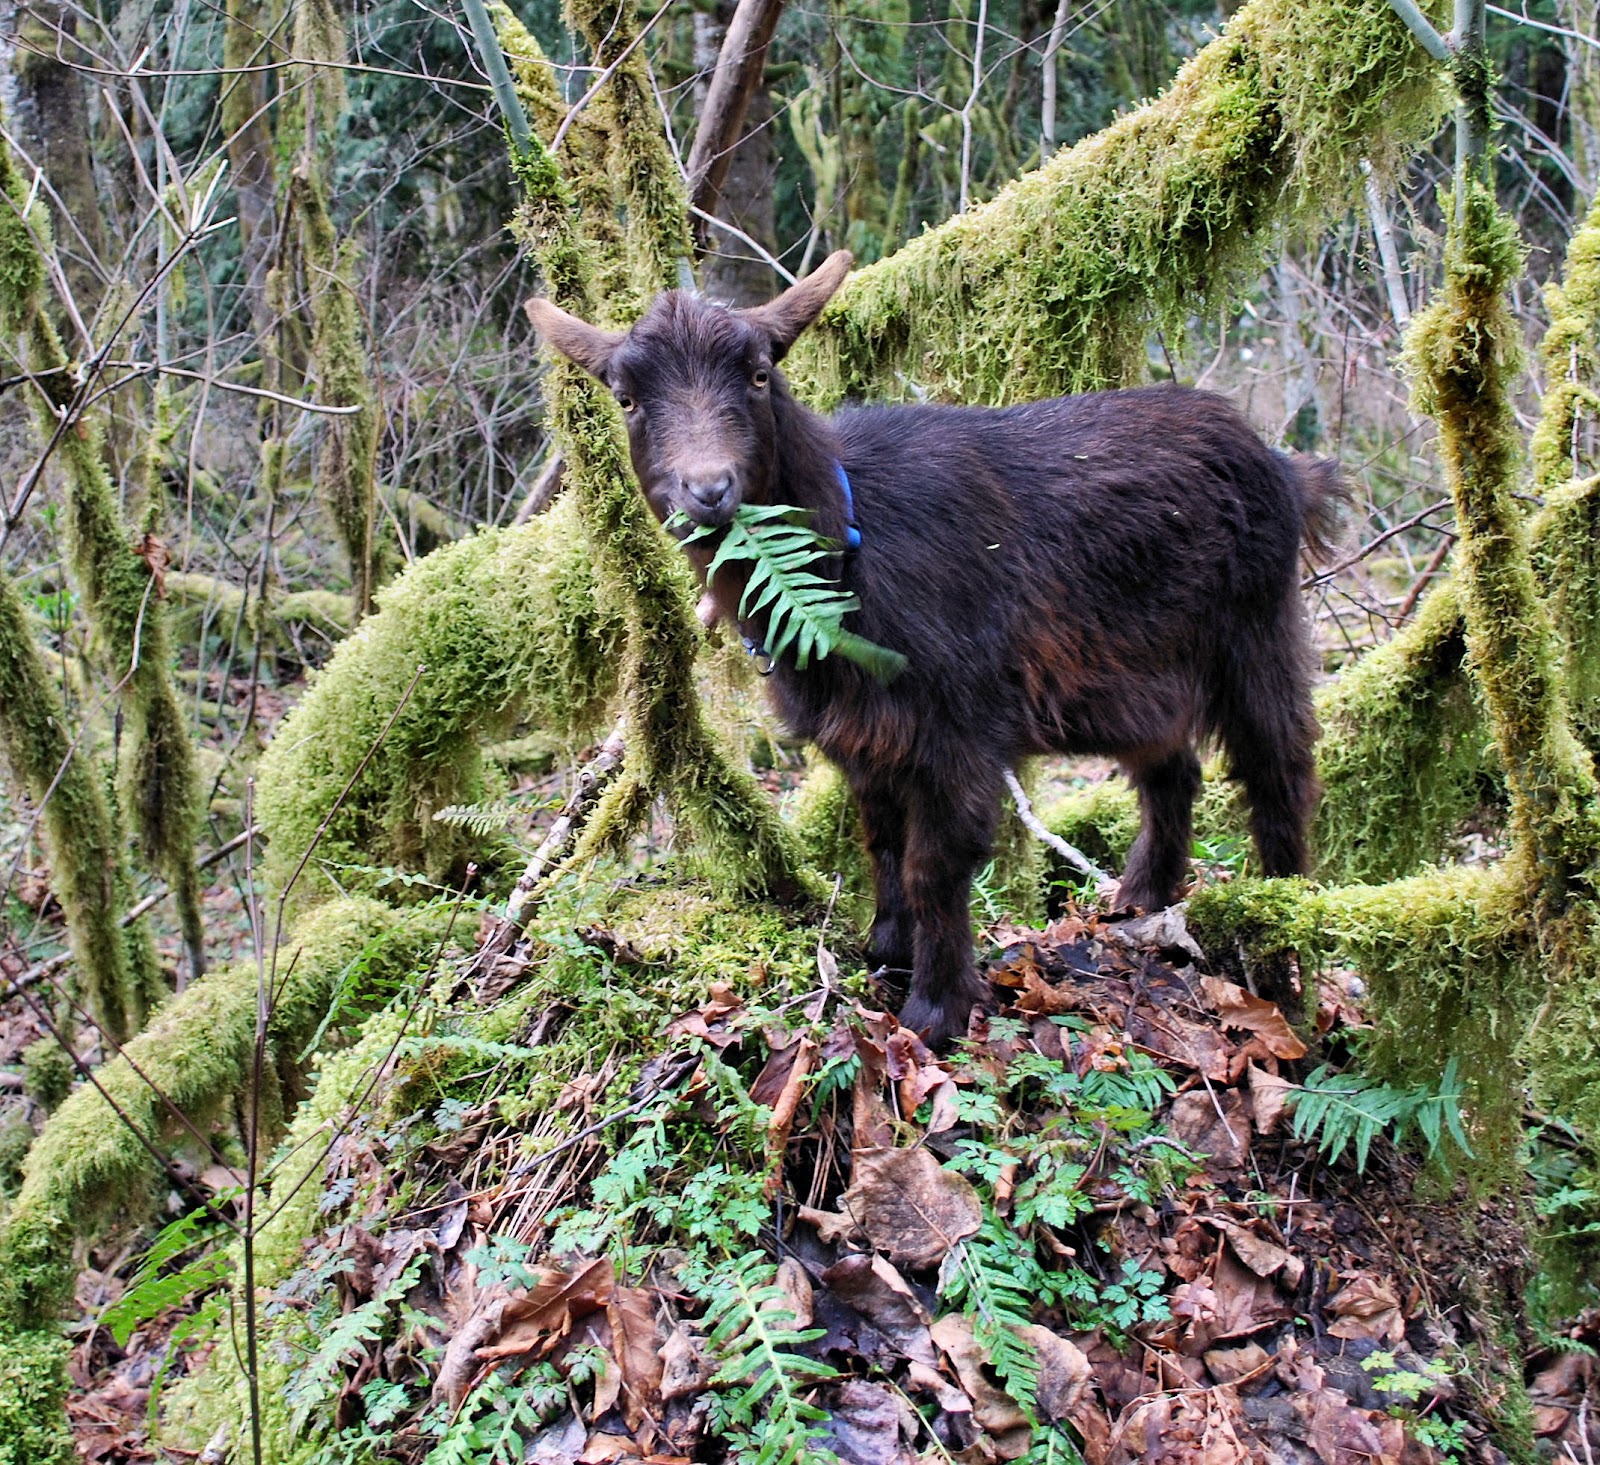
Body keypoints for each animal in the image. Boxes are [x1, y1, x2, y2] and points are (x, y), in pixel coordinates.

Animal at [527, 251, 1339, 1046]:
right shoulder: (865, 736)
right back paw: (1139, 902)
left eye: (759, 375)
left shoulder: (961, 730)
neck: (852, 539)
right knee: (1173, 771)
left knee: (1280, 771)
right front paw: (886, 950)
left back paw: (1283, 938)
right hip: (1137, 676)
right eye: (627, 397)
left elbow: (933, 863)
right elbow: (881, 841)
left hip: (1256, 628)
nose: (708, 490)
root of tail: (1283, 466)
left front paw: (936, 1008)